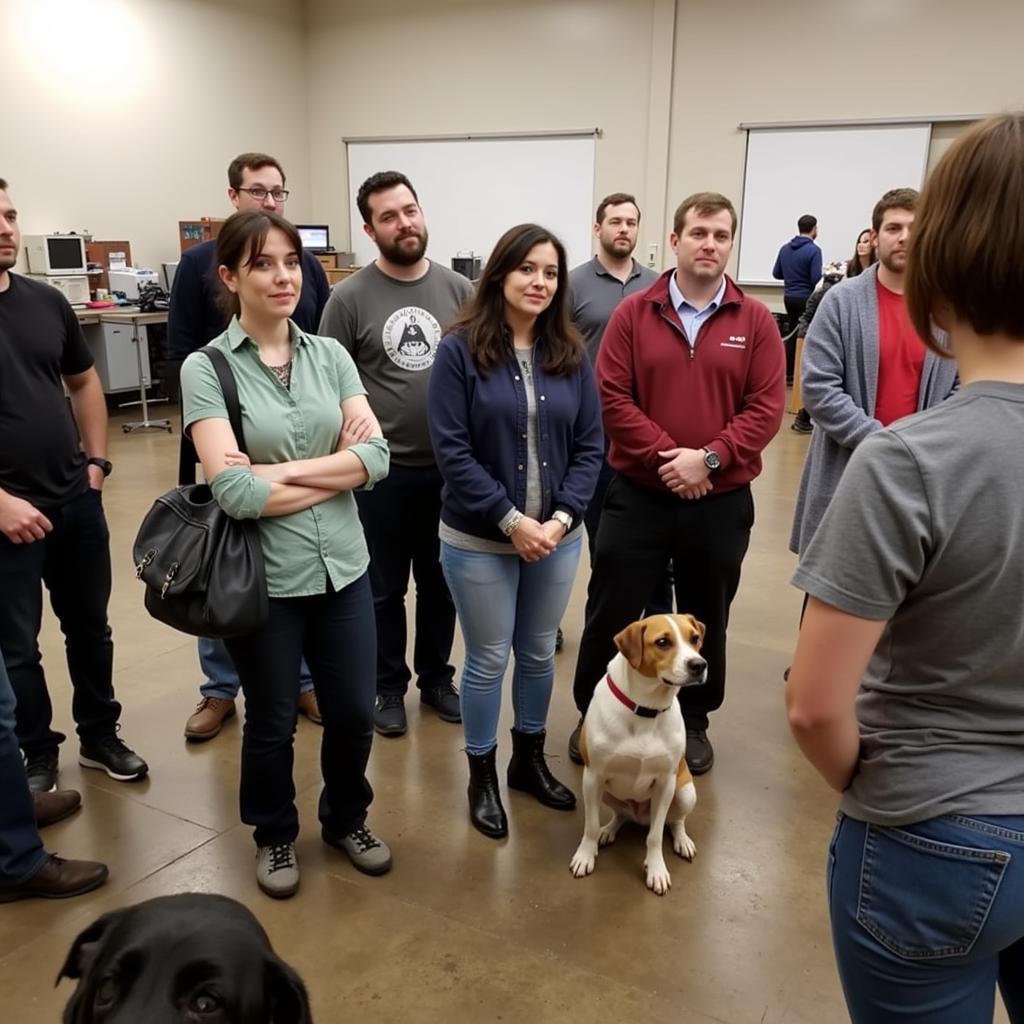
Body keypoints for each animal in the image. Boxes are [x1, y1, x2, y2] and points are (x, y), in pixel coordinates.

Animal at [569, 610, 704, 892]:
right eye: (662, 642)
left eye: (695, 638)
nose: (699, 665)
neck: (646, 707)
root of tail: (640, 817)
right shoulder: (593, 777)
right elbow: (590, 825)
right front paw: (585, 855)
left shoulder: (665, 783)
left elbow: (655, 836)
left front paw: (656, 869)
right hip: (605, 792)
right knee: (620, 815)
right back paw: (608, 830)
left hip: (684, 792)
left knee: (674, 821)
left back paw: (682, 840)